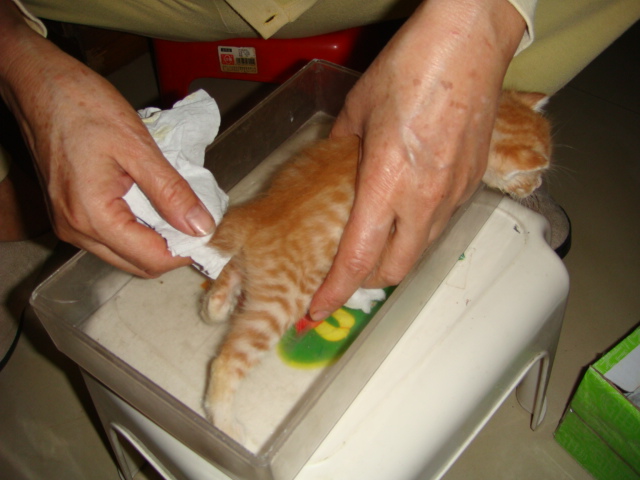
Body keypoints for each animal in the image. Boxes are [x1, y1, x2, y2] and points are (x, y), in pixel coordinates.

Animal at [200, 90, 551, 440]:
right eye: (533, 175)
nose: (536, 188)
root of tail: (261, 215)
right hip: (282, 301)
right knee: (227, 360)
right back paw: (227, 424)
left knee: (230, 271)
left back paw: (215, 306)